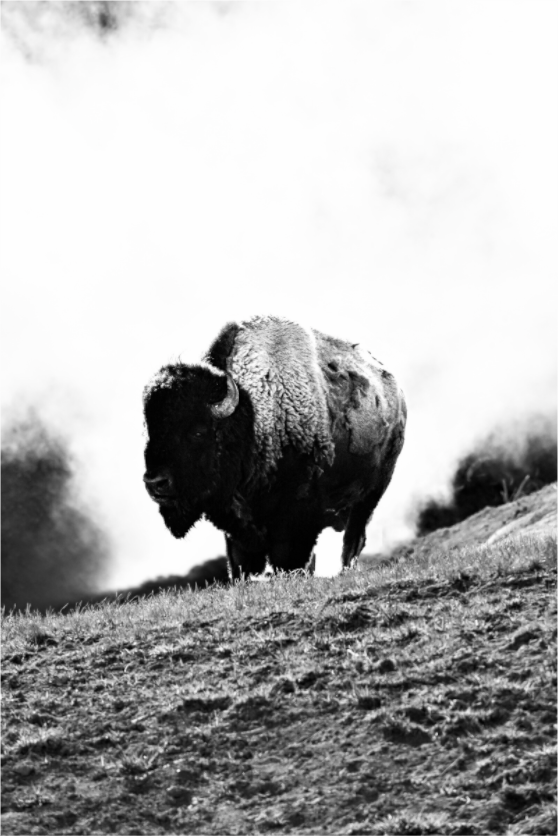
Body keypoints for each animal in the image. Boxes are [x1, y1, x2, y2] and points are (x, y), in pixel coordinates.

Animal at [143, 316, 406, 579]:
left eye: (198, 432)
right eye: (150, 432)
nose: (155, 483)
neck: (253, 418)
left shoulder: (296, 519)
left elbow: (288, 558)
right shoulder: (237, 530)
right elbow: (241, 563)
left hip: (370, 496)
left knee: (354, 538)